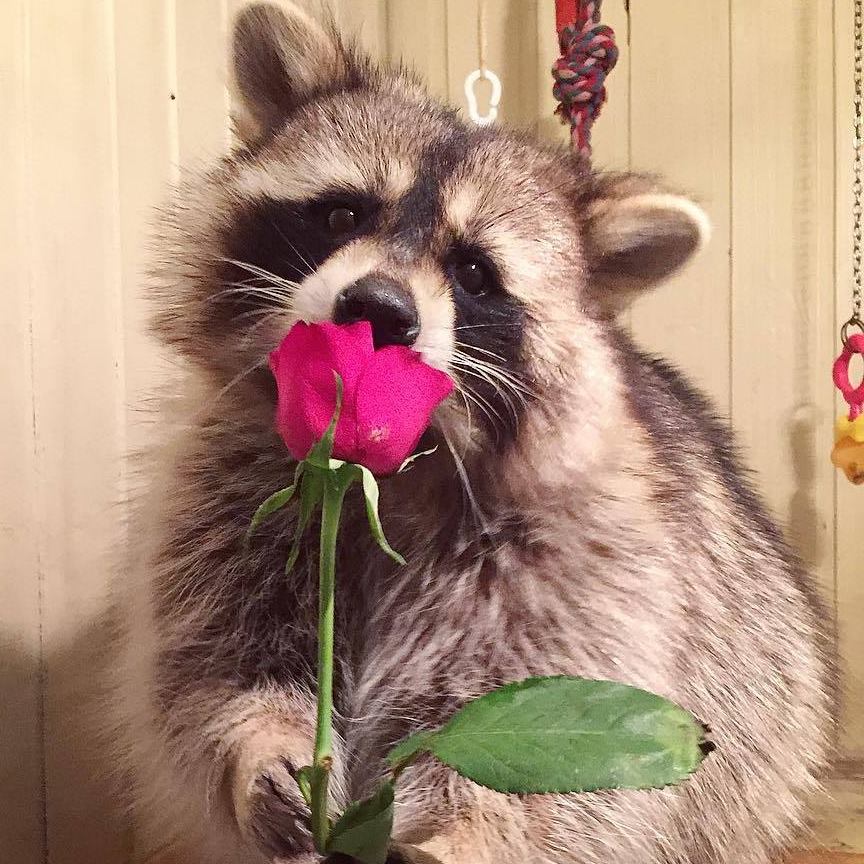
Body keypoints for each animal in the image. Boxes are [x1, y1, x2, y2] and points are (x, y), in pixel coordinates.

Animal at [109, 4, 835, 863]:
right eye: (343, 213)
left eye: (475, 273)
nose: (380, 308)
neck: (388, 471)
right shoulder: (231, 495)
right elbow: (212, 668)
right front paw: (258, 745)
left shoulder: (581, 570)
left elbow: (546, 770)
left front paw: (459, 832)